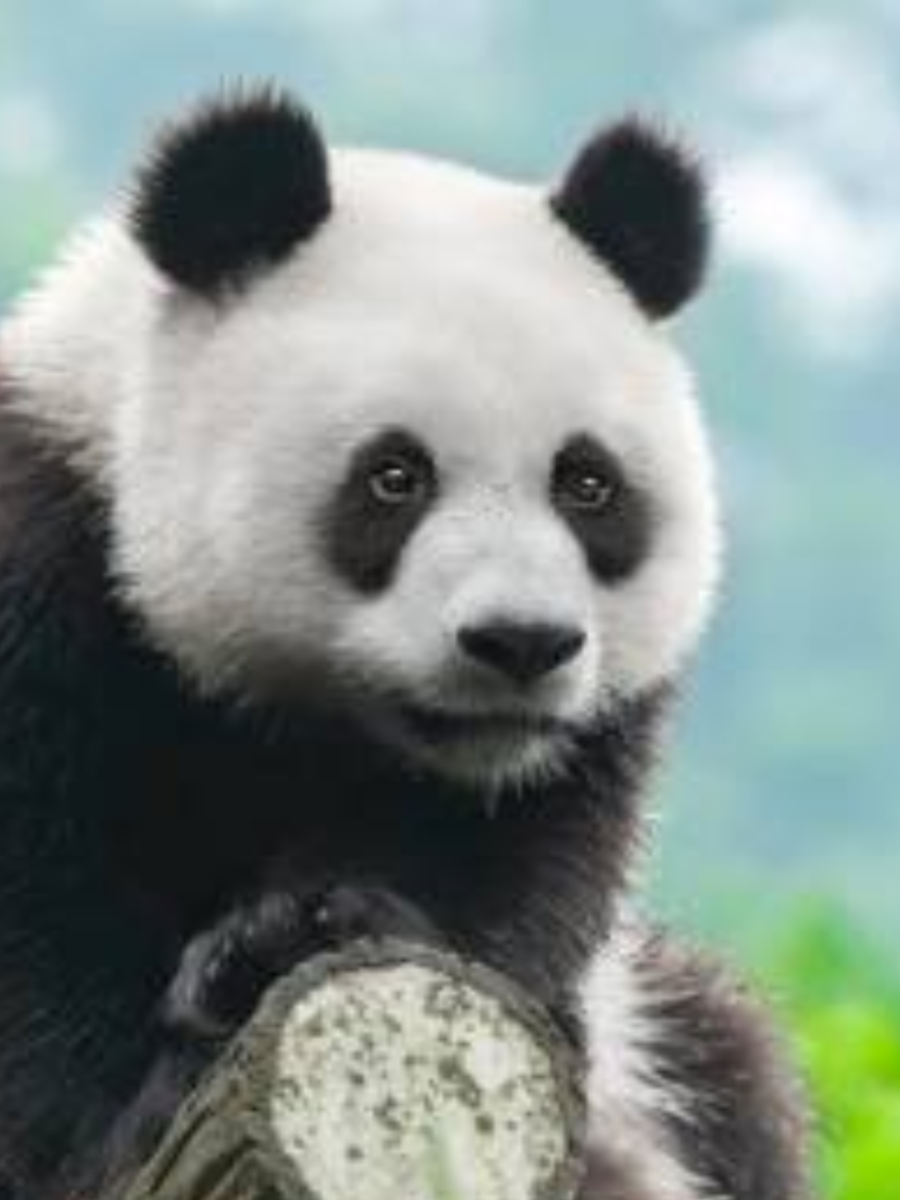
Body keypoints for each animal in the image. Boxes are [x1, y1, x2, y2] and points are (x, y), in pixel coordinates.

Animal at [0, 86, 810, 1199]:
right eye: (395, 476)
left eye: (587, 484)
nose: (521, 643)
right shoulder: (46, 556)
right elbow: (40, 897)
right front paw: (131, 1106)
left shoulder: (568, 749)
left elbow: (501, 861)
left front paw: (304, 928)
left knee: (728, 1065)